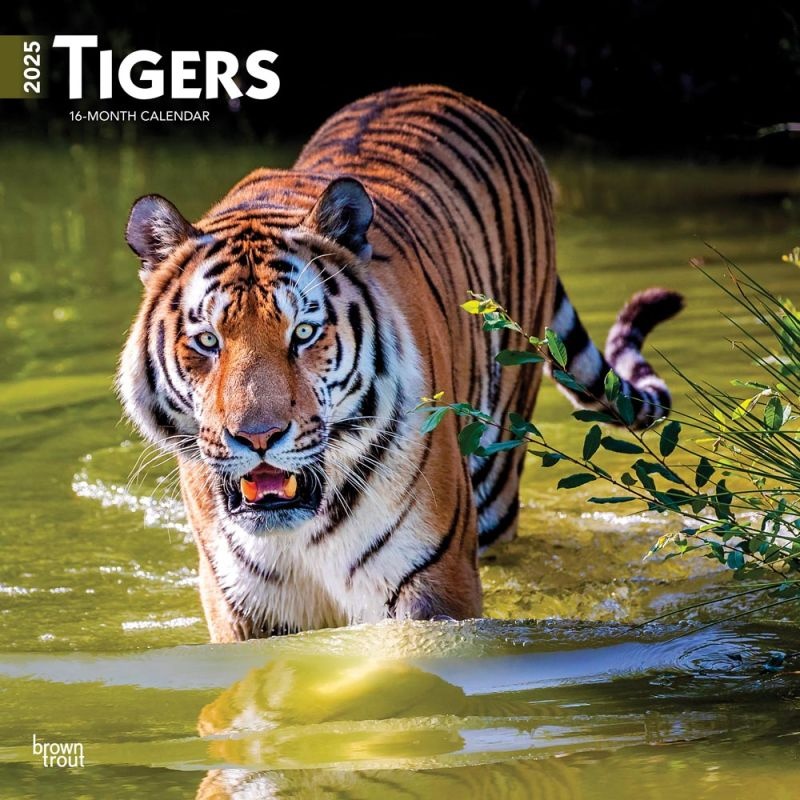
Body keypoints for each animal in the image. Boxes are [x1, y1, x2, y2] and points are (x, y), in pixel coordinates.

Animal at [117, 85, 682, 642]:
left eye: (303, 333)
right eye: (207, 341)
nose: (258, 438)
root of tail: (438, 91)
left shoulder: (432, 584)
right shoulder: (240, 607)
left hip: (498, 471)